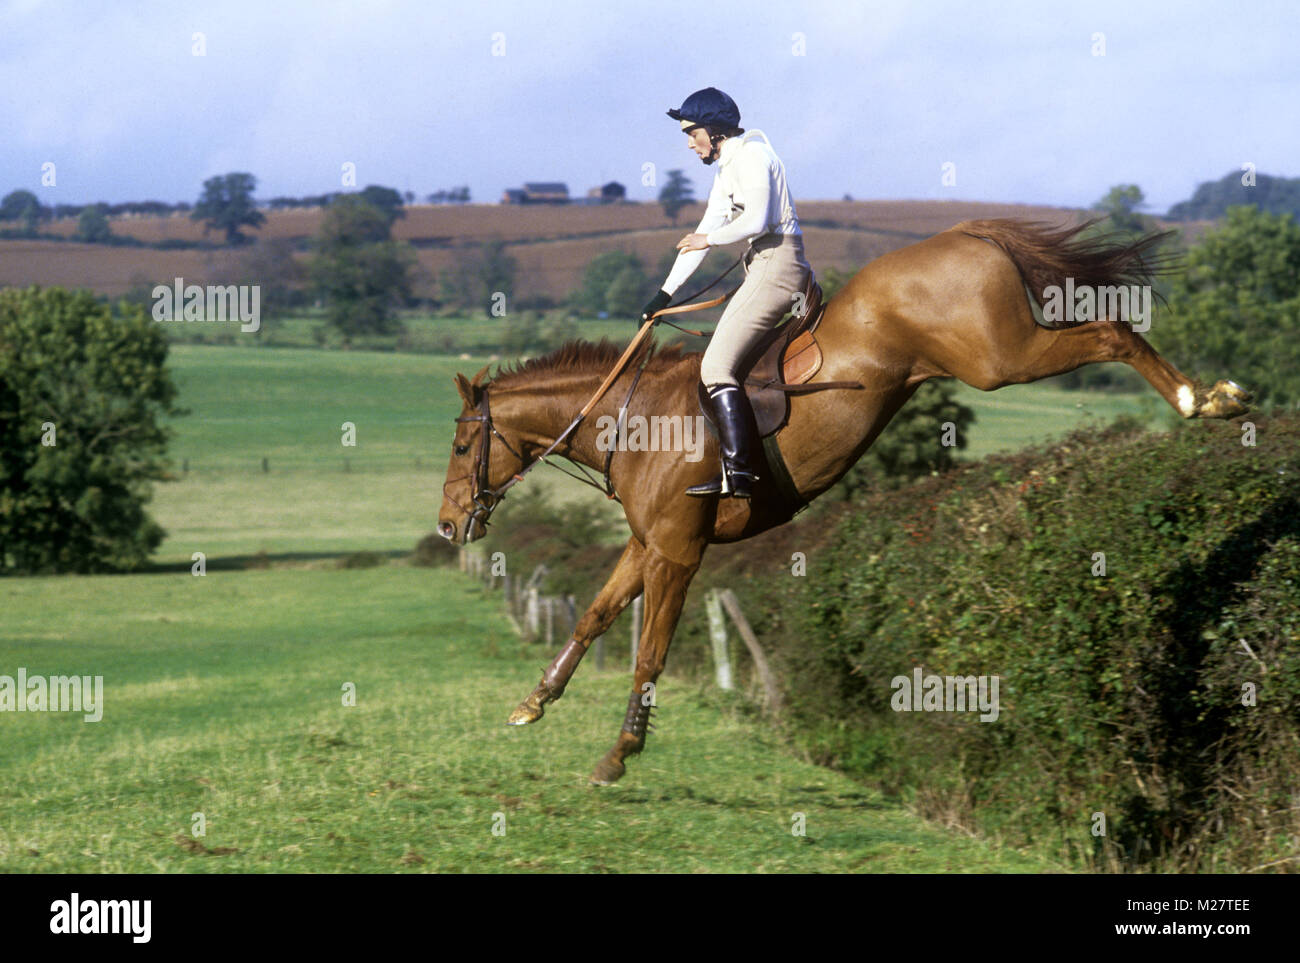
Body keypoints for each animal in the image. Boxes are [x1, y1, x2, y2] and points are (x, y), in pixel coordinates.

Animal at [434, 215, 1248, 779]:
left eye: (460, 446)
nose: (446, 525)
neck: (634, 420)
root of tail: (966, 231)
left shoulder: (677, 551)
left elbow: (651, 649)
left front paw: (621, 752)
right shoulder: (648, 543)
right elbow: (597, 615)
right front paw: (534, 702)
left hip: (997, 357)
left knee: (1111, 329)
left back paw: (1206, 400)